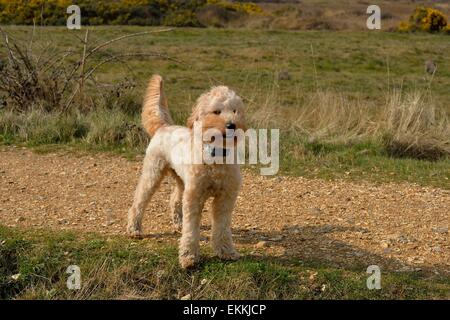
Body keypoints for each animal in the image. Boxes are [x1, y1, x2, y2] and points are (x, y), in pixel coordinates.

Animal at [126, 74, 246, 268]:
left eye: (235, 110)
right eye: (216, 111)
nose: (231, 125)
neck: (215, 157)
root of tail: (164, 126)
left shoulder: (226, 197)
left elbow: (222, 227)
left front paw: (226, 251)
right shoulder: (195, 196)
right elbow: (191, 230)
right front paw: (188, 257)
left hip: (182, 181)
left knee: (174, 199)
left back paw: (178, 223)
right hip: (153, 173)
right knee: (139, 201)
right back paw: (134, 229)